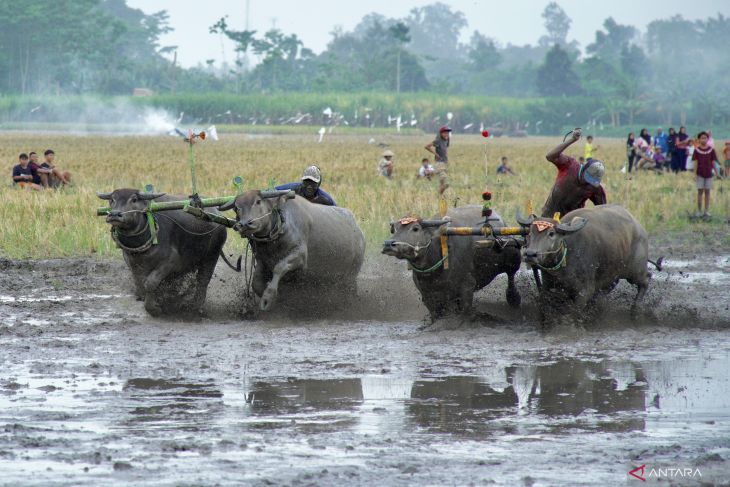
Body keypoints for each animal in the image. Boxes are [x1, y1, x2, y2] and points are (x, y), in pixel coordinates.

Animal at [96, 189, 226, 318]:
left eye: (134, 199)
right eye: (112, 199)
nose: (114, 214)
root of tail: (217, 213)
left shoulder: (171, 262)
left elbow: (150, 283)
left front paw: (154, 309)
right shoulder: (132, 264)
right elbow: (140, 285)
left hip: (212, 256)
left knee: (203, 281)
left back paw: (195, 308)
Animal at [216, 189, 364, 310]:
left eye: (258, 201)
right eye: (236, 207)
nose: (245, 224)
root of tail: (359, 233)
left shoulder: (300, 256)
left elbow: (279, 267)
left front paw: (268, 298)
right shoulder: (262, 261)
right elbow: (256, 283)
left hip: (350, 276)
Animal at [384, 205, 520, 322]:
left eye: (415, 228)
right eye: (394, 229)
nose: (388, 244)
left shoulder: (467, 287)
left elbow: (465, 312)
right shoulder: (428, 295)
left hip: (513, 258)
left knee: (511, 275)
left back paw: (514, 298)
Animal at [516, 203, 660, 322]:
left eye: (551, 233)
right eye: (530, 232)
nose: (530, 254)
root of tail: (639, 228)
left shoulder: (585, 290)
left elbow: (574, 312)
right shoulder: (549, 288)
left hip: (635, 271)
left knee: (646, 279)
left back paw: (635, 311)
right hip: (610, 276)